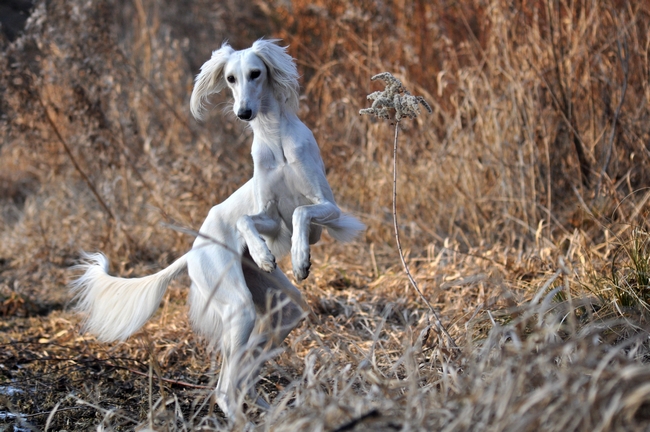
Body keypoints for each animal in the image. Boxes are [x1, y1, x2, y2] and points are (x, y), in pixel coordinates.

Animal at [72, 40, 364, 418]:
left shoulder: (328, 208)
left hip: (284, 309)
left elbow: (301, 211)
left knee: (243, 379)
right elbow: (247, 218)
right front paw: (264, 253)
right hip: (238, 306)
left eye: (256, 73)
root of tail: (192, 251)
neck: (274, 137)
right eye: (230, 79)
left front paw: (300, 258)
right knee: (226, 388)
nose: (244, 113)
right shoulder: (270, 217)